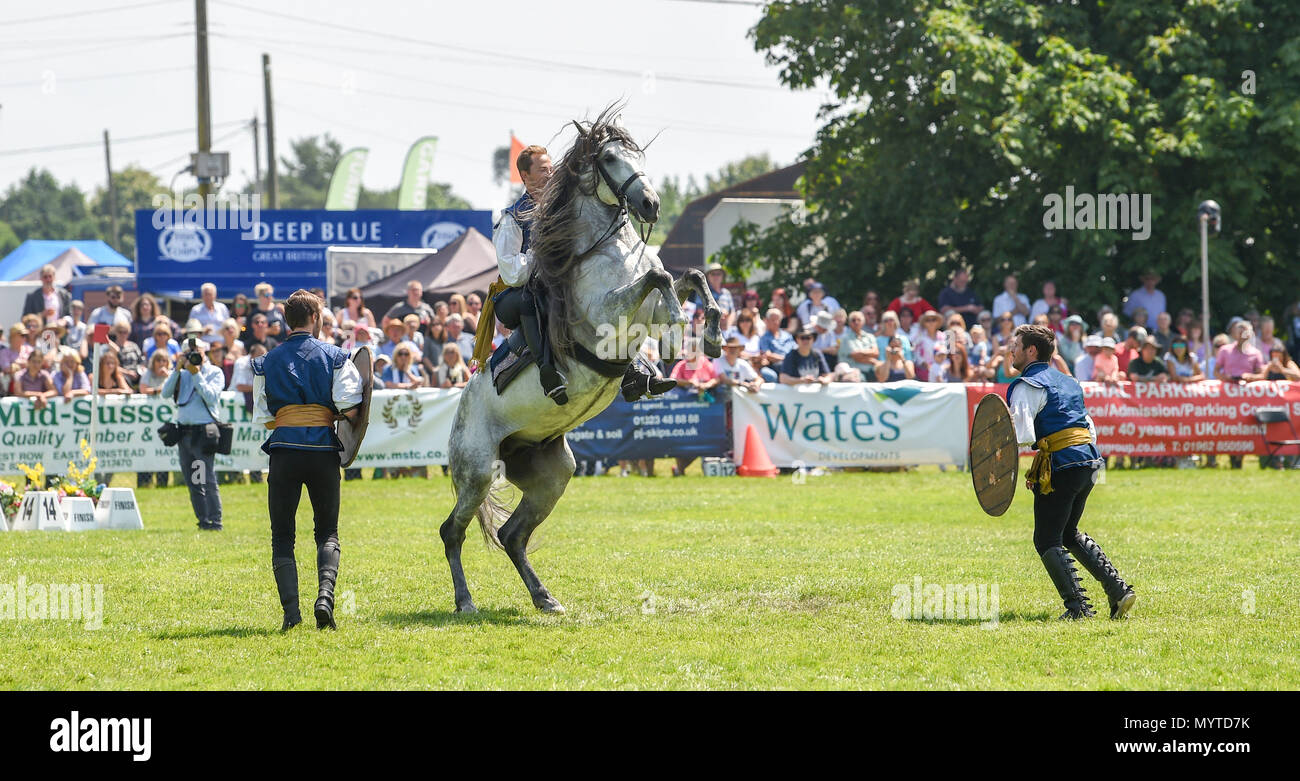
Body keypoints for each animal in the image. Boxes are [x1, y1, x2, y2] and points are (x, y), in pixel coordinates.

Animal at [436, 106, 722, 613]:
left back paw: (544, 597)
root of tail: (458, 414)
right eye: (608, 157)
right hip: (476, 473)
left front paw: (709, 334)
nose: (650, 204)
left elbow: (688, 274)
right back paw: (466, 601)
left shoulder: (644, 304)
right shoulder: (610, 314)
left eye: (637, 154)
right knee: (453, 531)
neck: (608, 249)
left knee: (511, 535)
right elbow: (659, 277)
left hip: (552, 474)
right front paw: (675, 334)